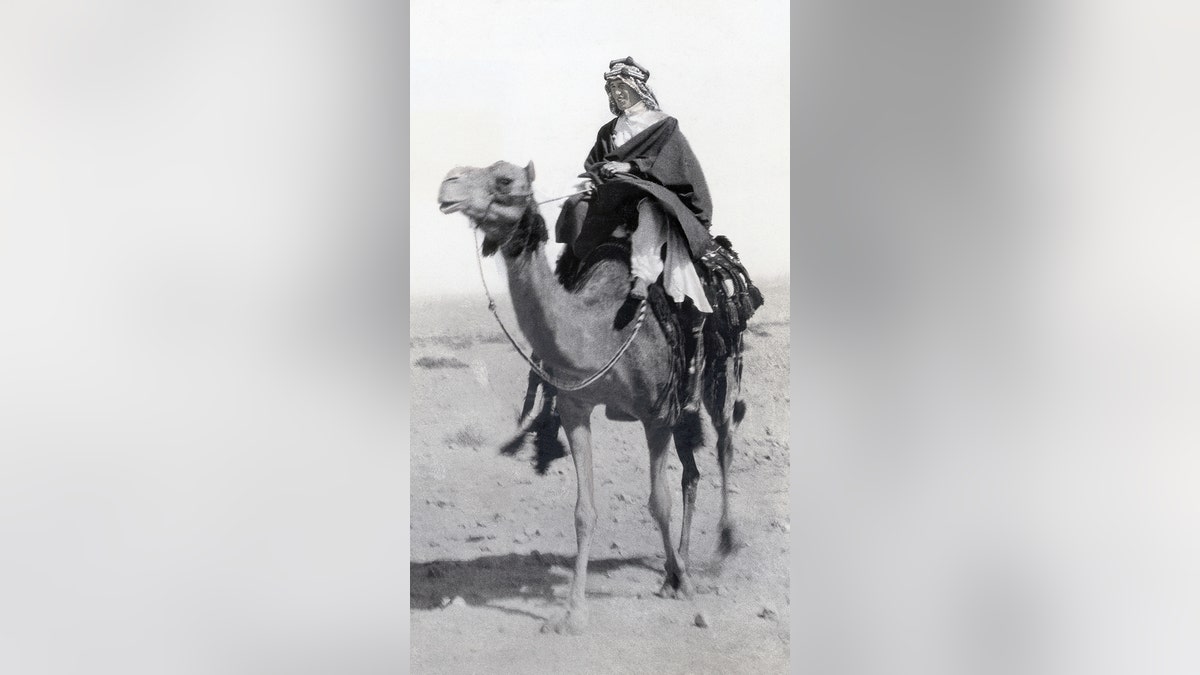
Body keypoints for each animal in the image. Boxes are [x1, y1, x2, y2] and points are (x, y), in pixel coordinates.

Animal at [436, 159, 744, 634]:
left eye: (504, 178)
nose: (447, 183)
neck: (602, 329)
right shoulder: (575, 407)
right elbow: (584, 511)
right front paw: (573, 612)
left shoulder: (655, 414)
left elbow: (658, 503)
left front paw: (686, 588)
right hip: (681, 405)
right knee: (692, 472)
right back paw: (678, 567)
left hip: (717, 371)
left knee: (725, 442)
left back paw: (722, 548)